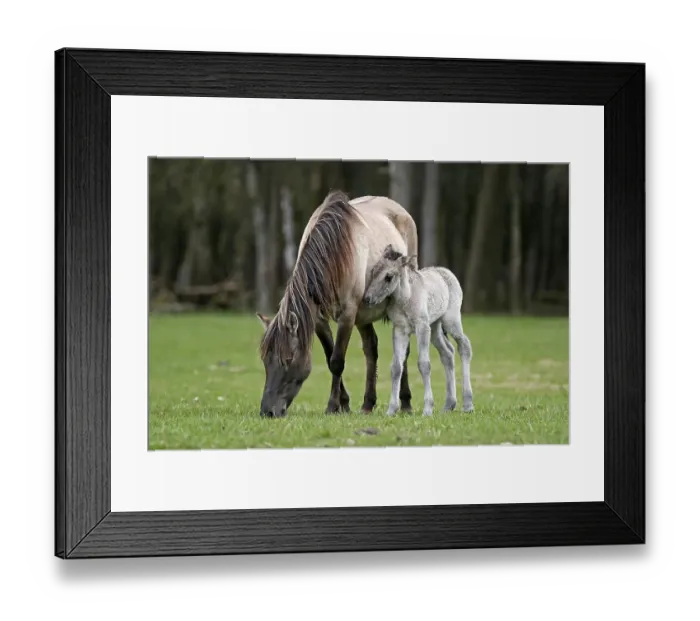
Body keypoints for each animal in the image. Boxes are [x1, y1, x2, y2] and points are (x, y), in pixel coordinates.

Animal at [256, 190, 419, 418]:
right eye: (265, 360)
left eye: (288, 359)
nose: (267, 412)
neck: (335, 252)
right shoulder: (319, 320)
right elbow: (329, 356)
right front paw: (345, 404)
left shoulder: (347, 316)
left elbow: (337, 361)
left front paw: (333, 406)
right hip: (364, 316)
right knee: (371, 349)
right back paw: (368, 404)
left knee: (403, 349)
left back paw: (405, 403)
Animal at [362, 244, 475, 416]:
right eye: (373, 271)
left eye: (389, 276)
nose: (367, 299)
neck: (406, 299)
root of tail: (447, 272)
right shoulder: (400, 329)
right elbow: (396, 367)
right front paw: (391, 410)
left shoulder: (421, 327)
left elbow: (424, 364)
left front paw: (427, 409)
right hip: (434, 327)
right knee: (447, 353)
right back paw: (449, 405)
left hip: (450, 320)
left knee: (464, 345)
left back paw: (468, 404)